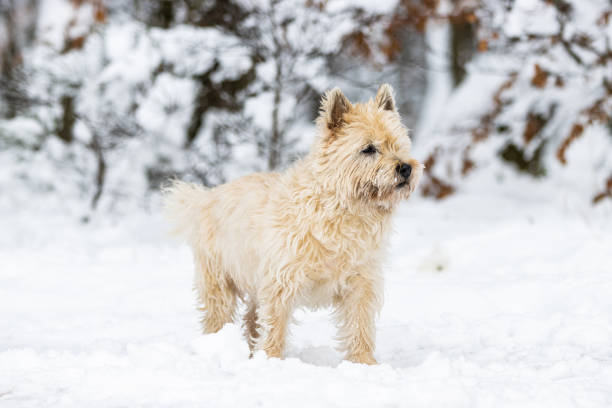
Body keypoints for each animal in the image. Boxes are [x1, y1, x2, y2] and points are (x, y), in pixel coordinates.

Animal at [163, 84, 420, 364]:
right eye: (369, 148)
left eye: (398, 144)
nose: (405, 168)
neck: (343, 209)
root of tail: (206, 198)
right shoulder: (281, 281)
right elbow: (275, 326)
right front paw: (272, 361)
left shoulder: (361, 283)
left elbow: (359, 326)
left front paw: (364, 363)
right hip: (219, 281)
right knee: (219, 317)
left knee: (251, 319)